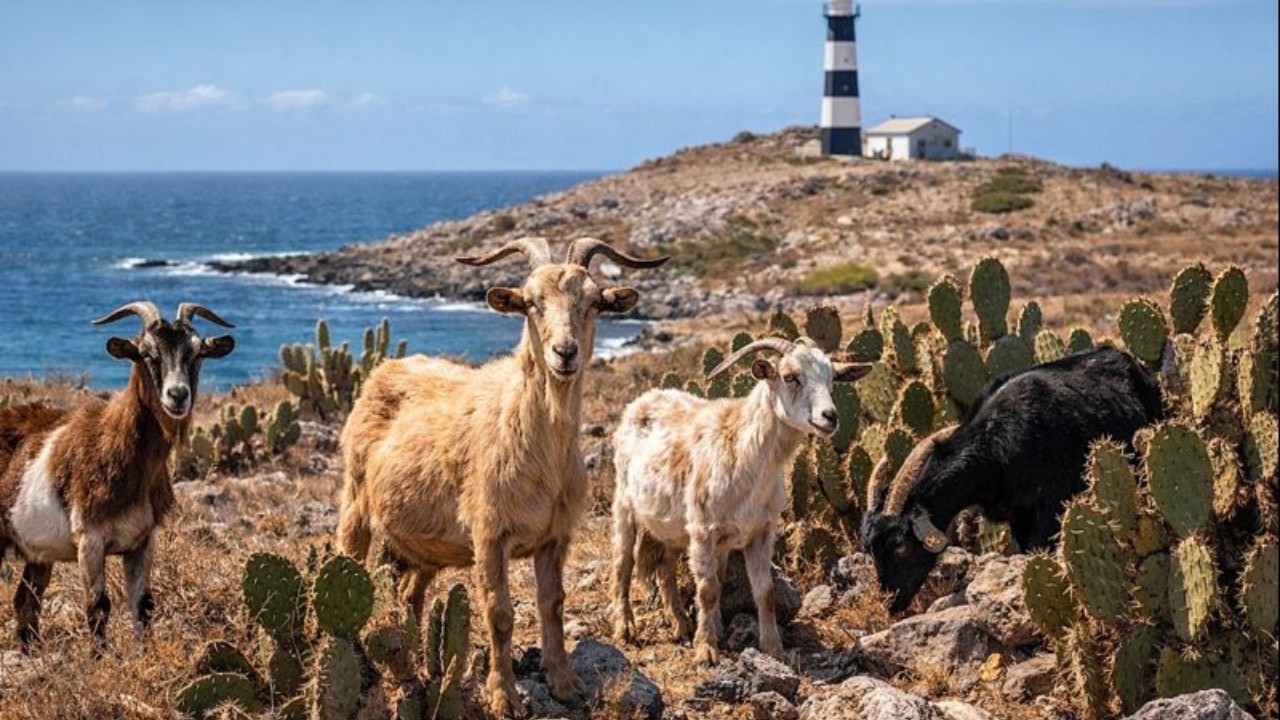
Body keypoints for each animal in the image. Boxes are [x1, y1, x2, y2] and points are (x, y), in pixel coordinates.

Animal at [0, 302, 235, 646]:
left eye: (197, 353)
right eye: (146, 354)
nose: (177, 395)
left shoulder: (142, 540)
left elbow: (143, 604)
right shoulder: (90, 539)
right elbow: (98, 606)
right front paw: (99, 657)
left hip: (37, 554)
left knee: (25, 602)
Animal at [336, 237, 667, 718]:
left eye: (593, 301)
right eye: (530, 302)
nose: (564, 353)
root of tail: (384, 369)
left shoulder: (555, 537)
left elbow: (553, 604)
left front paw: (564, 682)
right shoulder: (490, 534)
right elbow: (500, 613)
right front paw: (504, 696)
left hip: (423, 546)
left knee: (410, 593)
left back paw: (416, 660)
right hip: (356, 502)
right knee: (348, 565)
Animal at [610, 337, 871, 666]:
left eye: (832, 378)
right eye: (790, 377)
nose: (830, 417)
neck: (744, 453)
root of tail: (643, 399)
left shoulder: (760, 532)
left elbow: (764, 591)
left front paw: (772, 648)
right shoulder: (703, 530)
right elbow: (707, 589)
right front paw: (707, 649)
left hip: (673, 526)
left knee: (665, 566)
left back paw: (680, 623)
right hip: (625, 504)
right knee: (623, 563)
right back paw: (625, 629)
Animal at [861, 346, 1163, 613]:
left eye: (900, 547)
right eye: (870, 549)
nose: (890, 603)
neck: (996, 447)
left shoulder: (1050, 504)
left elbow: (1037, 549)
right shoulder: (1016, 515)